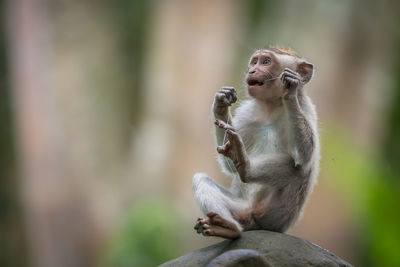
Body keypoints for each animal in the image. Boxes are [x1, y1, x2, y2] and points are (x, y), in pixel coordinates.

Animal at [192, 46, 320, 241]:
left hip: (277, 217)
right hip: (241, 209)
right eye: (254, 62)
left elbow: (305, 155)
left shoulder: (306, 108)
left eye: (266, 62)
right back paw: (228, 227)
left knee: (299, 169)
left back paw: (247, 169)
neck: (271, 106)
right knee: (202, 179)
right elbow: (230, 165)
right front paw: (221, 102)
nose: (252, 70)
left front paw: (290, 90)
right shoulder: (248, 113)